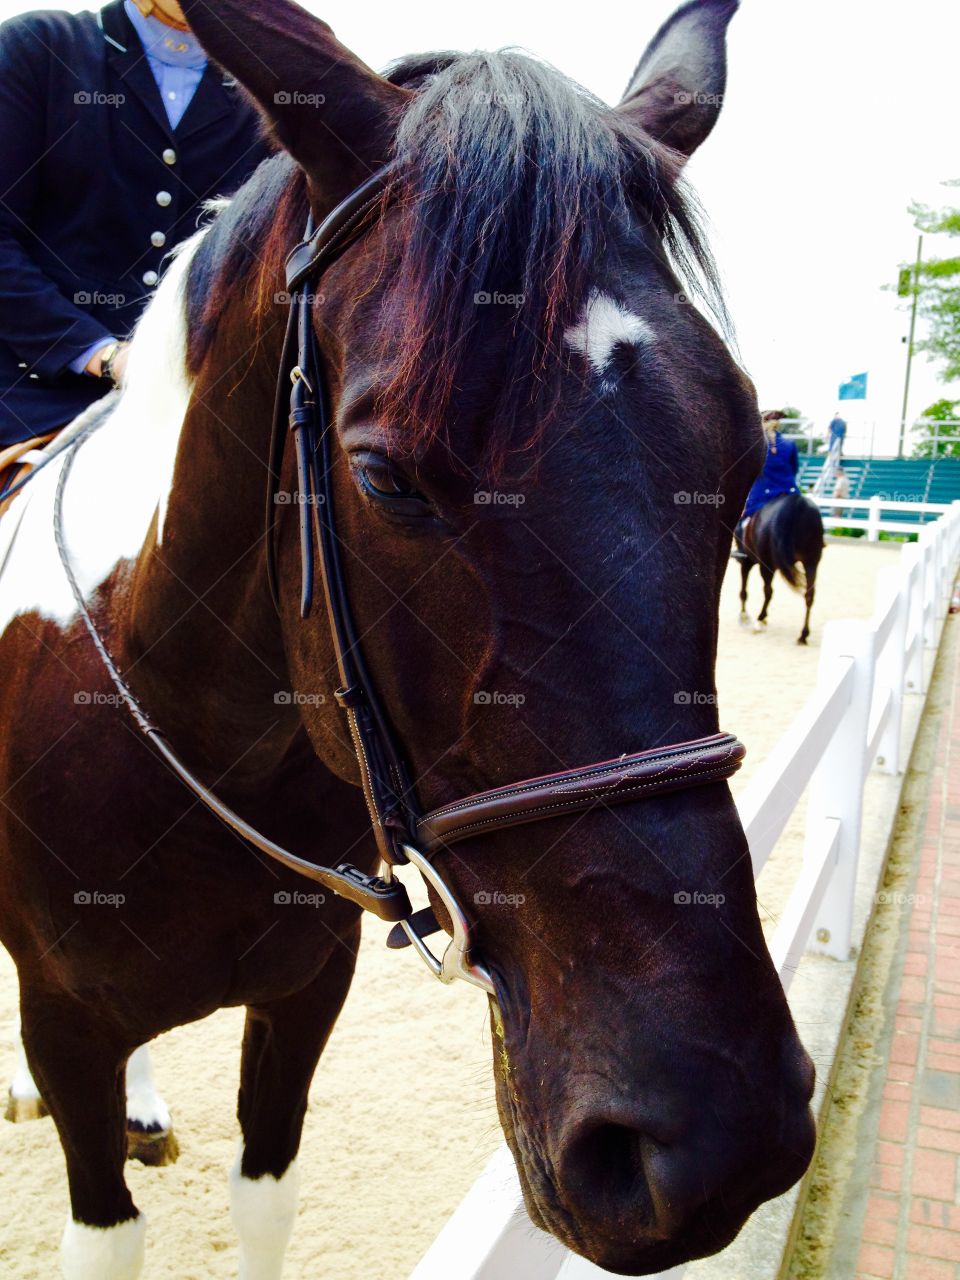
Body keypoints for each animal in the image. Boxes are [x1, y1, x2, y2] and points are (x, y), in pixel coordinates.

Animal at [0, 0, 814, 1274]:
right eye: (385, 477)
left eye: (740, 463)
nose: (719, 1135)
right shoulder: (66, 1025)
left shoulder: (303, 995)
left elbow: (264, 1196)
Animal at [742, 494, 829, 645]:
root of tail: (797, 503)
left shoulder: (748, 560)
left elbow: (744, 589)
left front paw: (744, 615)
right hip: (811, 563)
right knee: (809, 596)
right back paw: (803, 634)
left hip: (766, 564)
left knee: (768, 591)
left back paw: (760, 618)